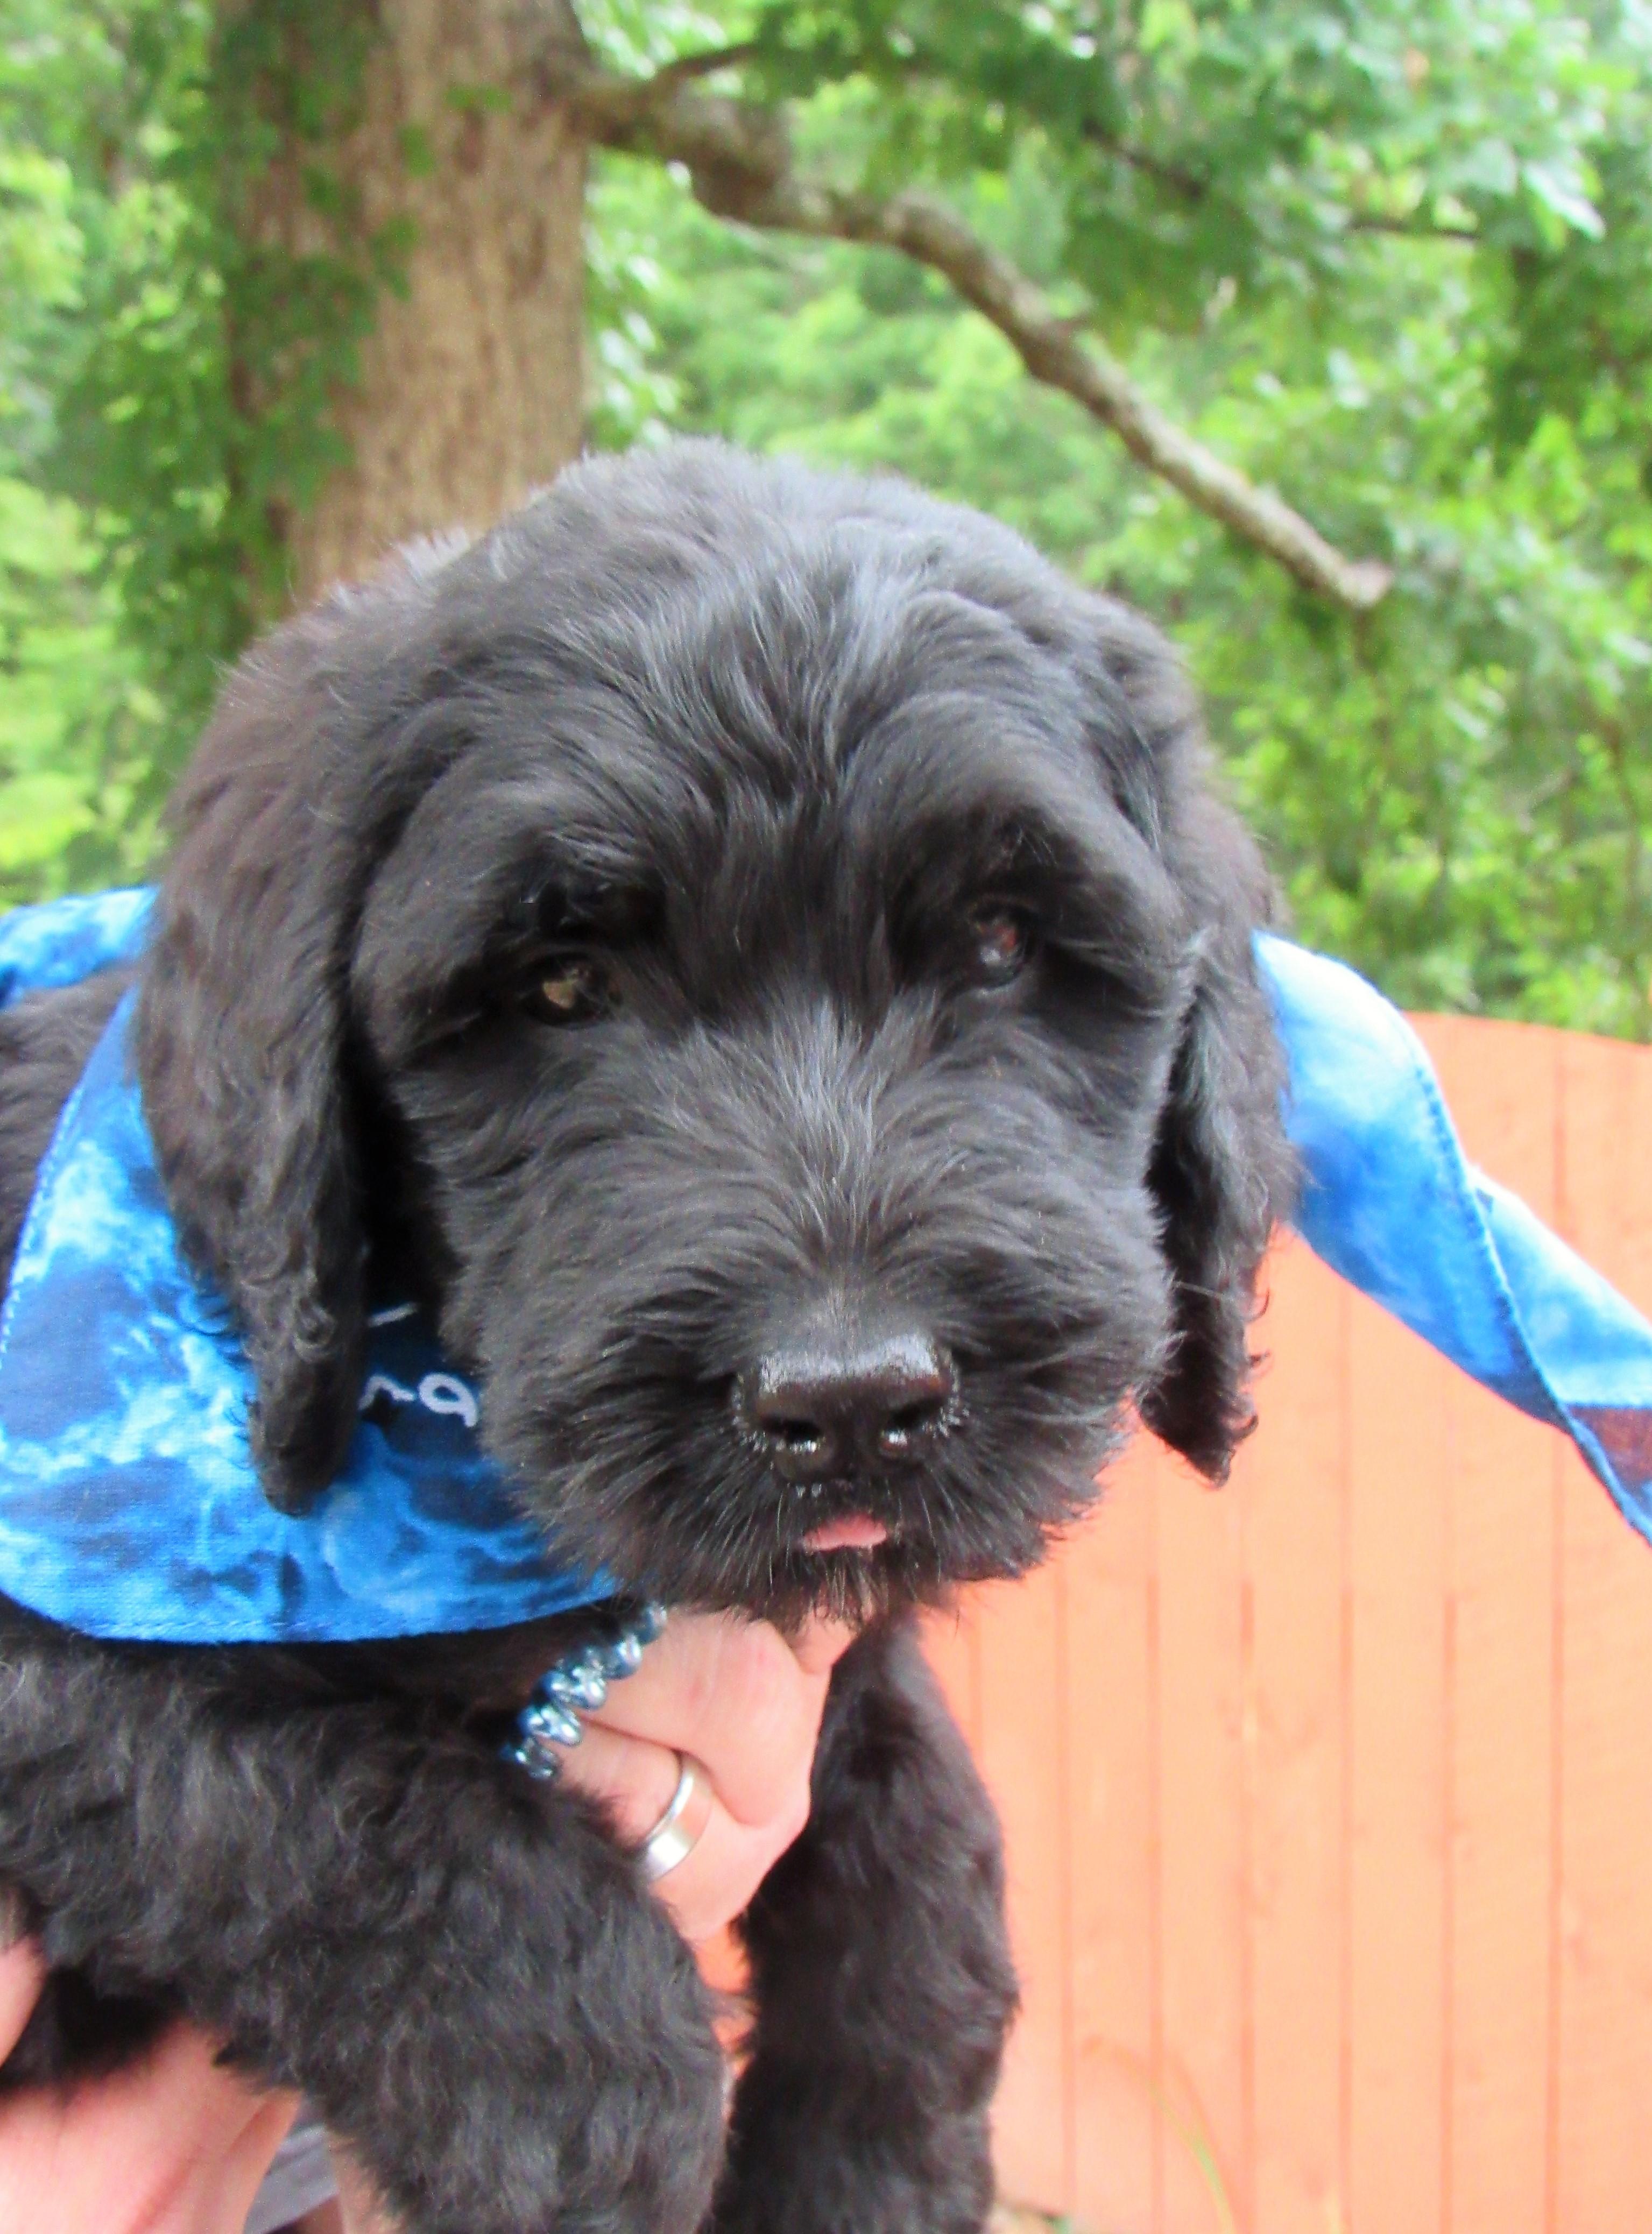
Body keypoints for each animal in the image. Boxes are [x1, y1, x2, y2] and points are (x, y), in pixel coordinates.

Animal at [0, 442, 1291, 2234]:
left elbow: (924, 1854)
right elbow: (343, 1818)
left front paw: (868, 2167)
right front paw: (593, 2134)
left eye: (1002, 944)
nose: (849, 1402)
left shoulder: (833, 1642)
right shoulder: (66, 1661)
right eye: (558, 985)